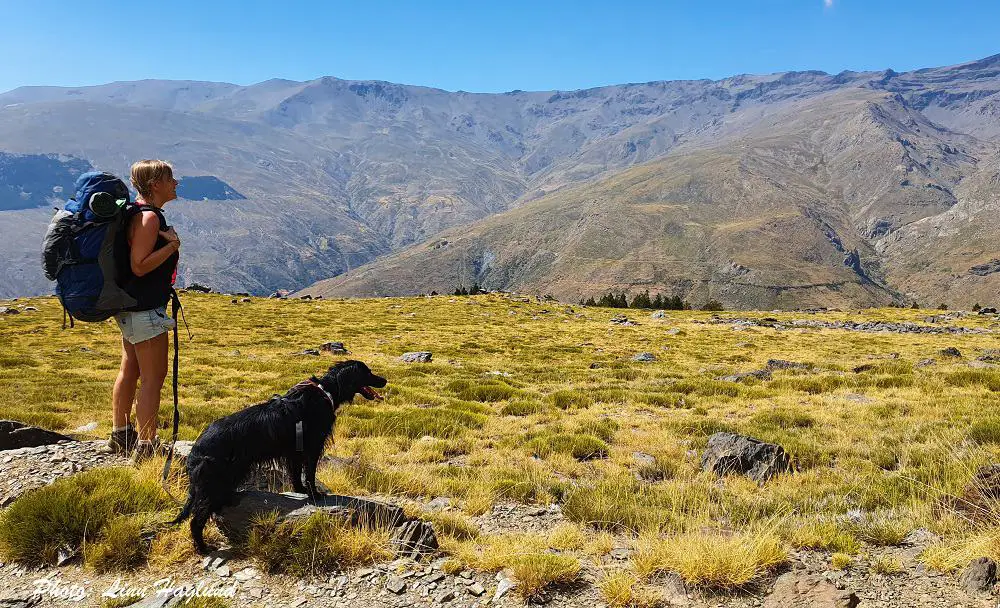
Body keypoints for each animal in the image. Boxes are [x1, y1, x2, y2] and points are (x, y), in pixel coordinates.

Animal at [172, 358, 382, 552]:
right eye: (368, 372)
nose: (385, 380)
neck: (326, 391)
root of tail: (196, 449)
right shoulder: (312, 447)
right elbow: (310, 474)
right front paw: (315, 494)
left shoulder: (295, 451)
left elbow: (296, 475)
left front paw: (301, 491)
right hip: (217, 479)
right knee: (197, 519)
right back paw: (203, 548)